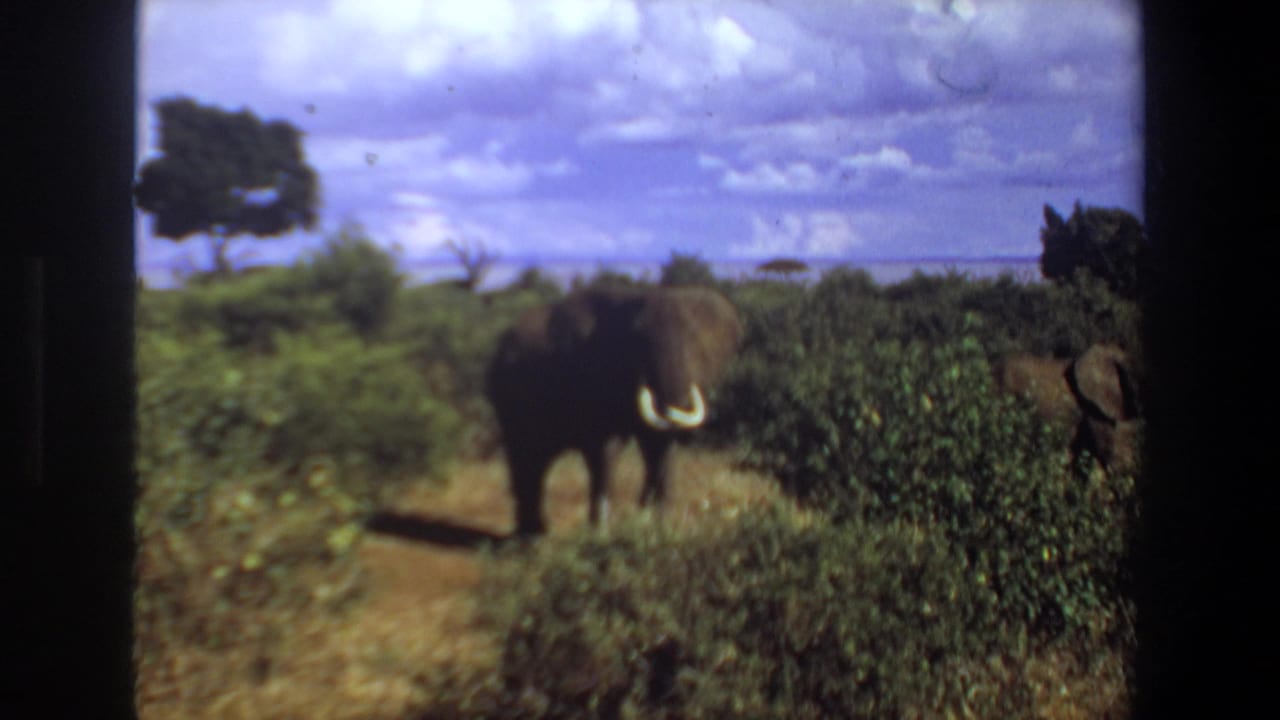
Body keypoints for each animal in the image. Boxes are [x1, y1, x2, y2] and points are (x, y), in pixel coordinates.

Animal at [485, 286, 743, 536]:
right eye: (640, 348)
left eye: (700, 351)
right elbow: (605, 448)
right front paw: (602, 532)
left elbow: (656, 445)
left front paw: (657, 525)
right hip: (507, 396)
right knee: (524, 455)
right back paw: (531, 534)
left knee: (537, 460)